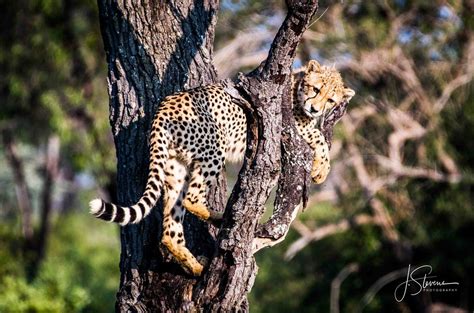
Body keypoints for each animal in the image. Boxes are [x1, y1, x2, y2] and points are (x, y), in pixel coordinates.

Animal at [90, 59, 356, 274]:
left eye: (331, 99)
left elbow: (318, 134)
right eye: (316, 89)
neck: (298, 87)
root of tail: (164, 106)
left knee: (169, 232)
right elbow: (318, 137)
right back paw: (219, 217)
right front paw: (321, 170)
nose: (314, 108)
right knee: (192, 198)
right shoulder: (291, 128)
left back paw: (196, 267)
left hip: (176, 168)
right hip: (213, 150)